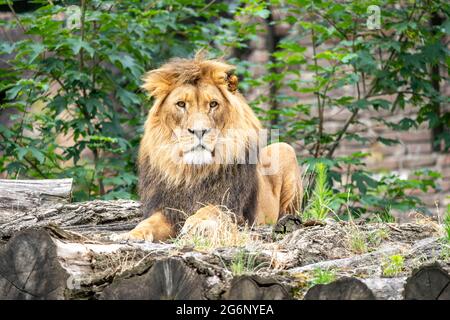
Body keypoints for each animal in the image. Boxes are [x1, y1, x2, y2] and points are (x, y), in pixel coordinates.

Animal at [114, 53, 300, 241]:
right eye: (181, 104)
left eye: (213, 104)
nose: (199, 131)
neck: (193, 173)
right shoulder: (169, 209)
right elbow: (148, 222)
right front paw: (131, 234)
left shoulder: (235, 211)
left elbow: (211, 208)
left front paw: (197, 223)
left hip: (285, 149)